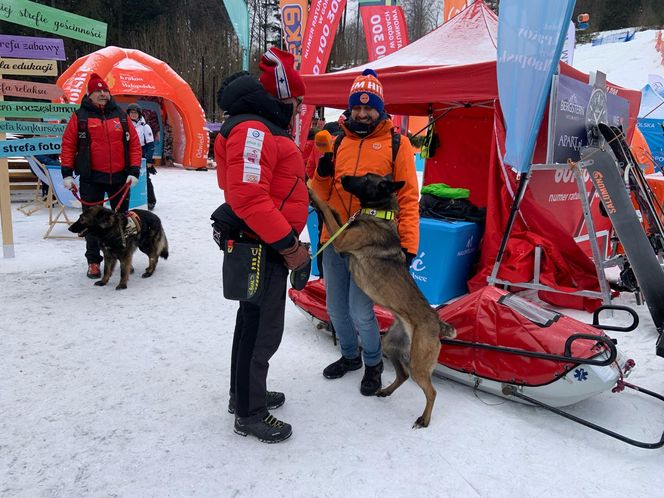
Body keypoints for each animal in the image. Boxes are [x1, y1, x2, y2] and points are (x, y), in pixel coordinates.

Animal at [310, 174, 456, 428]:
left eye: (365, 178)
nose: (342, 177)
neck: (378, 215)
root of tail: (438, 323)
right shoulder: (343, 233)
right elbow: (335, 212)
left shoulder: (341, 240)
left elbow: (328, 208)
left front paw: (311, 190)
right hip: (390, 344)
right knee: (403, 375)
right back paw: (386, 391)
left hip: (419, 362)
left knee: (431, 391)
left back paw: (424, 419)